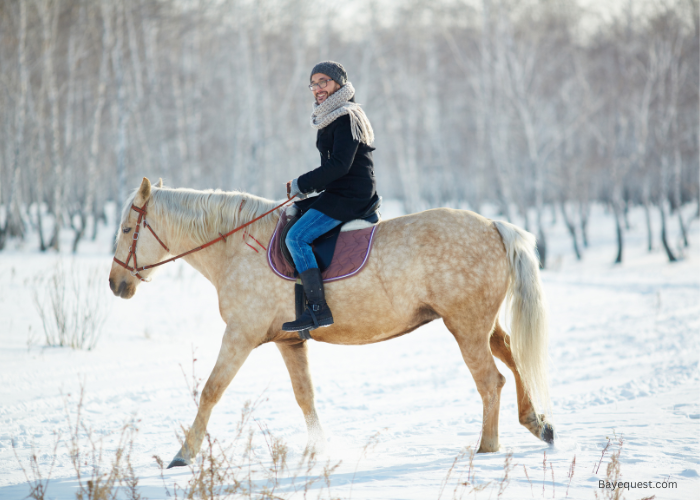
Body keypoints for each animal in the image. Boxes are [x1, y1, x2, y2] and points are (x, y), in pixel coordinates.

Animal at [109, 179, 556, 468]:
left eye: (128, 228)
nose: (116, 284)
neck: (238, 247)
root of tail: (494, 225)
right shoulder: (288, 342)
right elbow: (305, 396)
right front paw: (322, 451)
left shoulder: (240, 335)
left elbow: (211, 391)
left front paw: (183, 454)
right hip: (479, 324)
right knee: (512, 356)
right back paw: (537, 424)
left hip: (466, 327)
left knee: (491, 381)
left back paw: (488, 448)